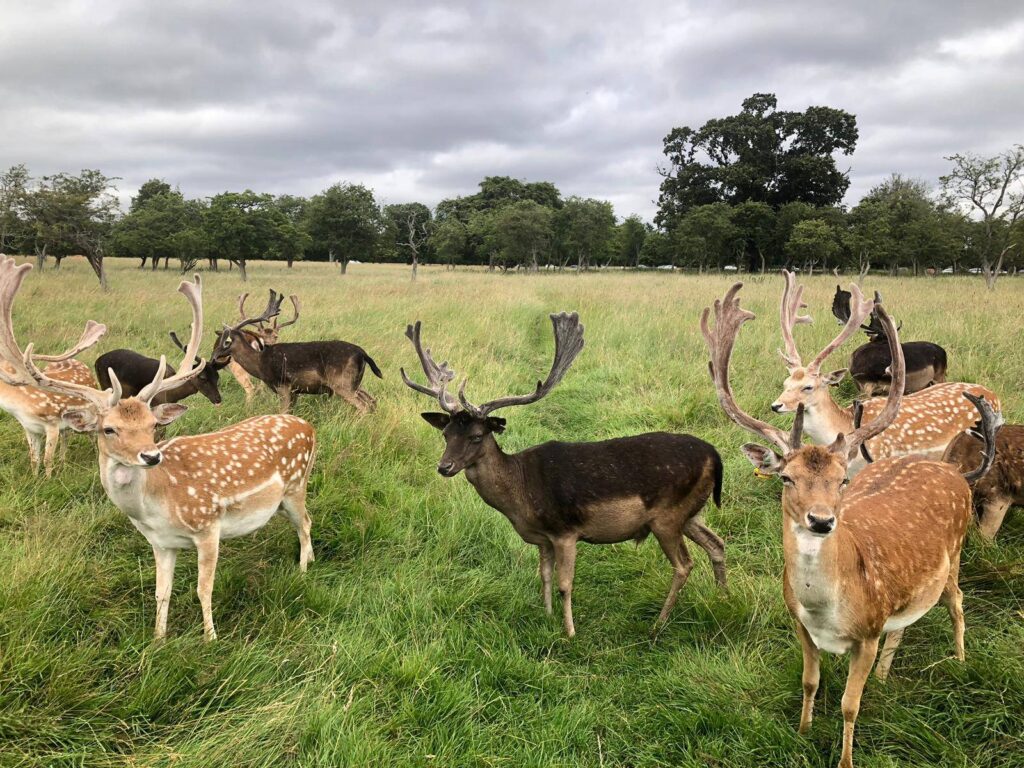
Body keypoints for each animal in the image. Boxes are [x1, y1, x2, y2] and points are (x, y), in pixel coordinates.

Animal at [0, 324, 106, 477]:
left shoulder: (52, 423)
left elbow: (47, 459)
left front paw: (48, 479)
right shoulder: (29, 428)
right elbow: (34, 459)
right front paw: (35, 478)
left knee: (90, 436)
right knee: (66, 436)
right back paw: (62, 463)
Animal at [95, 331, 227, 406]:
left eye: (217, 377)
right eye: (202, 377)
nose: (218, 399)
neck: (171, 393)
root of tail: (97, 361)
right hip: (106, 385)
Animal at [213, 291, 381, 413]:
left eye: (226, 341)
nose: (214, 357)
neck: (260, 364)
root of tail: (363, 354)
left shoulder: (283, 385)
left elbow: (282, 413)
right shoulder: (295, 391)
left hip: (342, 383)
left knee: (364, 406)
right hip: (355, 383)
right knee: (372, 401)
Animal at [401, 313, 725, 638]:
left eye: (477, 436)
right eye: (446, 433)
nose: (444, 467)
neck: (520, 497)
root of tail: (714, 454)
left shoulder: (566, 531)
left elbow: (564, 584)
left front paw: (569, 632)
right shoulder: (544, 538)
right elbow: (544, 575)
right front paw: (546, 616)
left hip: (668, 516)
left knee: (684, 564)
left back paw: (659, 623)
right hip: (691, 512)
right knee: (716, 543)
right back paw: (722, 597)